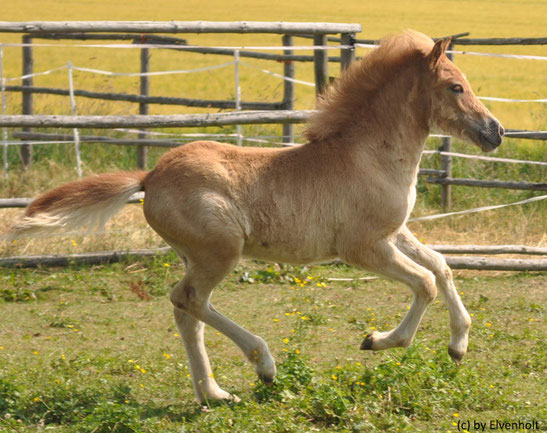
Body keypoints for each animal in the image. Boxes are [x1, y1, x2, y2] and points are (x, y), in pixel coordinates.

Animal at [10, 29, 506, 402]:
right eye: (455, 86)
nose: (497, 131)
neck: (368, 156)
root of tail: (150, 174)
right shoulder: (362, 248)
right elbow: (424, 282)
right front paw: (379, 341)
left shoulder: (393, 232)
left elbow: (441, 266)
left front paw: (458, 345)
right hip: (221, 251)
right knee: (188, 300)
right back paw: (264, 366)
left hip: (197, 255)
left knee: (188, 311)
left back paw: (214, 394)